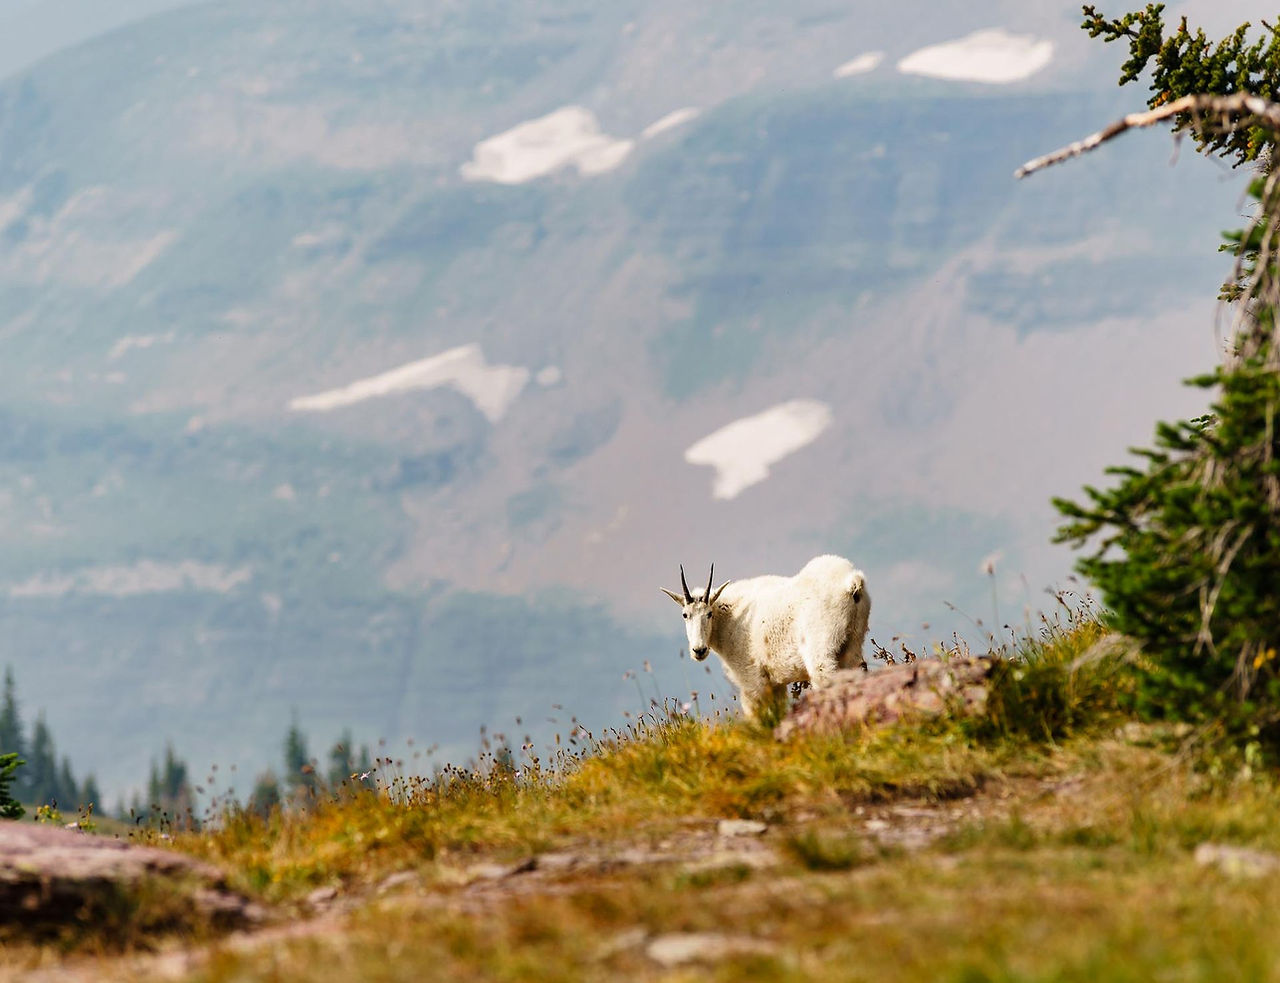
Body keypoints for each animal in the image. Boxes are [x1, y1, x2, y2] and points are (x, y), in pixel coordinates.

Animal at [661, 556, 871, 720]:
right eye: (685, 615)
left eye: (709, 614)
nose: (699, 650)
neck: (731, 616)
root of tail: (852, 583)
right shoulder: (774, 683)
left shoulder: (752, 679)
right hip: (853, 642)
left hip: (821, 649)